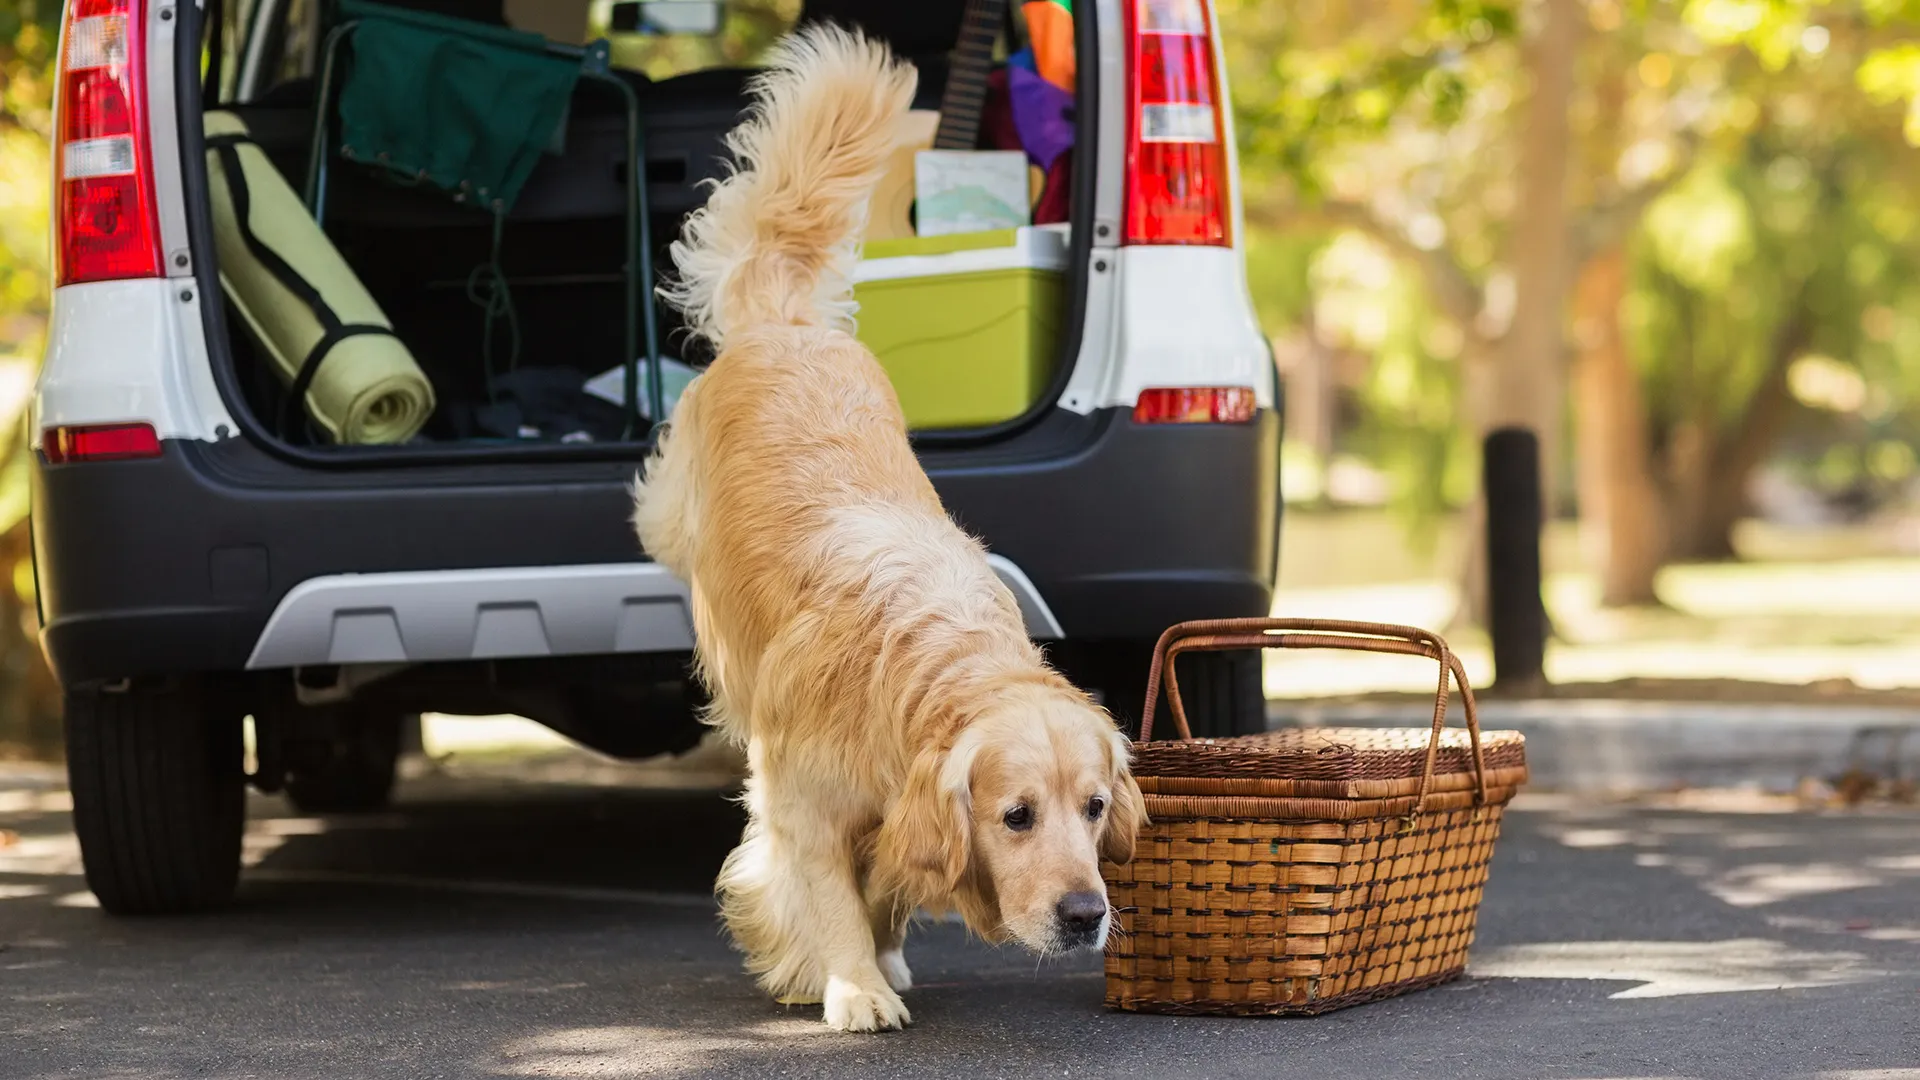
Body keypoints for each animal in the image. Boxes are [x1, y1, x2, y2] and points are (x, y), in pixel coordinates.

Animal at [629, 25, 1136, 1030]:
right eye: (1017, 815)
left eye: (1096, 807)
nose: (1084, 914)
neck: (922, 672)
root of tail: (788, 323)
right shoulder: (803, 800)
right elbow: (822, 889)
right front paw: (849, 983)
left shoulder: (899, 809)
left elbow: (893, 879)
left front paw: (884, 955)